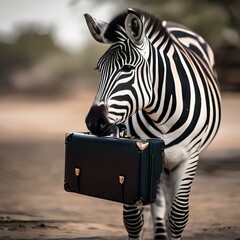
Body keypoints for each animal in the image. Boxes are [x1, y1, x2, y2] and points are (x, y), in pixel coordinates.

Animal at [84, 7, 221, 240]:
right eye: (98, 69)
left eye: (127, 68)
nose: (94, 122)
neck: (164, 115)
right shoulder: (139, 160)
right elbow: (133, 220)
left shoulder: (188, 158)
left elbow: (177, 218)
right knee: (157, 204)